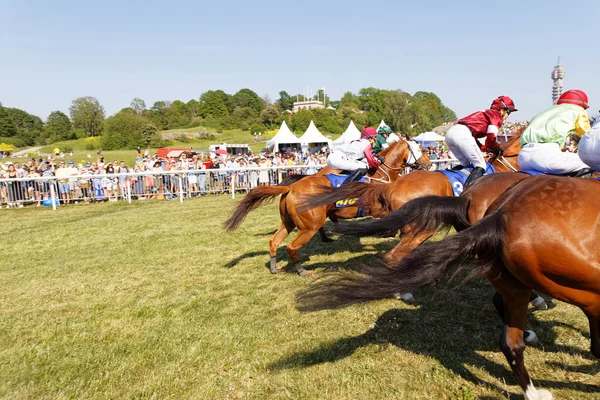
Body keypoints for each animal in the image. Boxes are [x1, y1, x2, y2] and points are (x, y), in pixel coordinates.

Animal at [223, 138, 428, 276]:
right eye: (420, 148)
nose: (428, 164)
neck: (381, 174)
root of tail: (291, 187)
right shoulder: (380, 208)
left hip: (289, 222)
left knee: (274, 241)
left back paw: (275, 268)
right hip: (309, 225)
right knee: (291, 247)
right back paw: (303, 271)